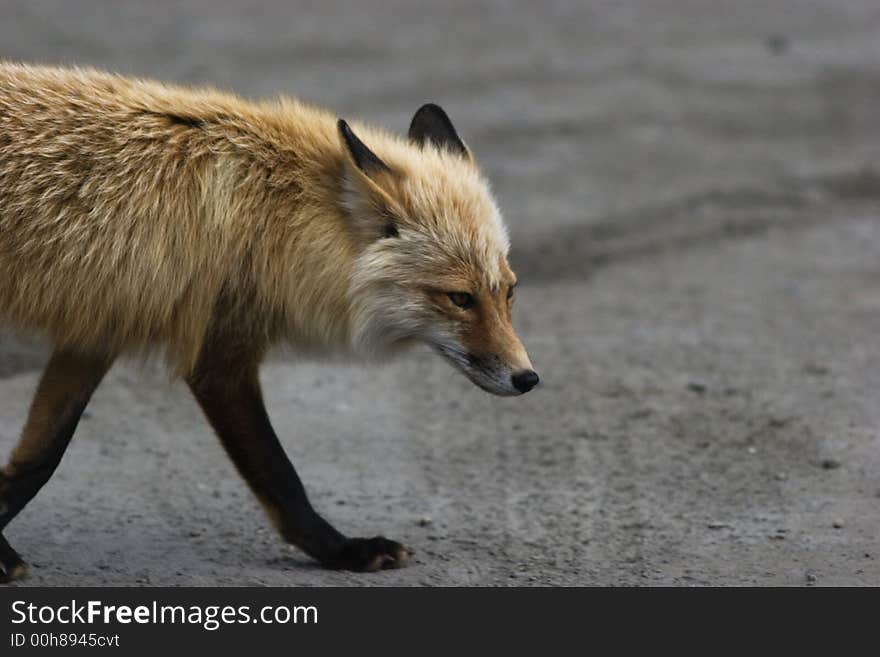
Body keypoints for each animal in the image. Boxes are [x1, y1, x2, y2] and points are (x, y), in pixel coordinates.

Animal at [0, 62, 536, 580]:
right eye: (460, 298)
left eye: (508, 291)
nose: (527, 378)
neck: (271, 215)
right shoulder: (220, 356)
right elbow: (281, 477)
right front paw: (343, 551)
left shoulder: (99, 330)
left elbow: (40, 458)